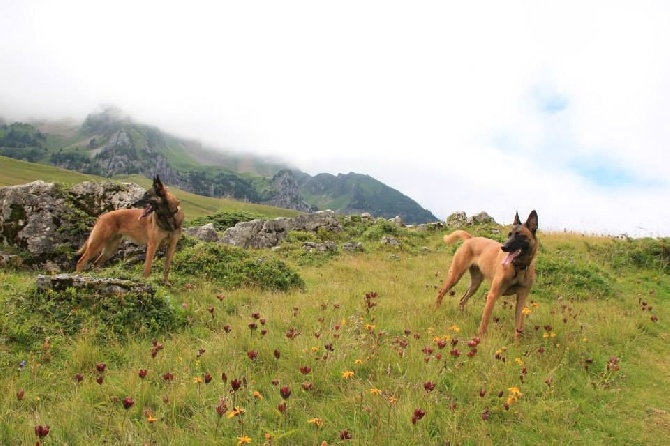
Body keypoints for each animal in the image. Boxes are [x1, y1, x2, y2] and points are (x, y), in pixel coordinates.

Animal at [436, 211, 540, 344]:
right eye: (509, 234)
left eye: (519, 236)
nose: (503, 247)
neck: (518, 268)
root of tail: (470, 238)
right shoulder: (493, 295)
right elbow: (484, 321)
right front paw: (479, 340)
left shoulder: (522, 299)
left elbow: (518, 326)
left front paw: (517, 345)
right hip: (455, 275)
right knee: (441, 292)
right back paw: (436, 310)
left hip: (475, 284)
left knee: (462, 299)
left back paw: (460, 316)